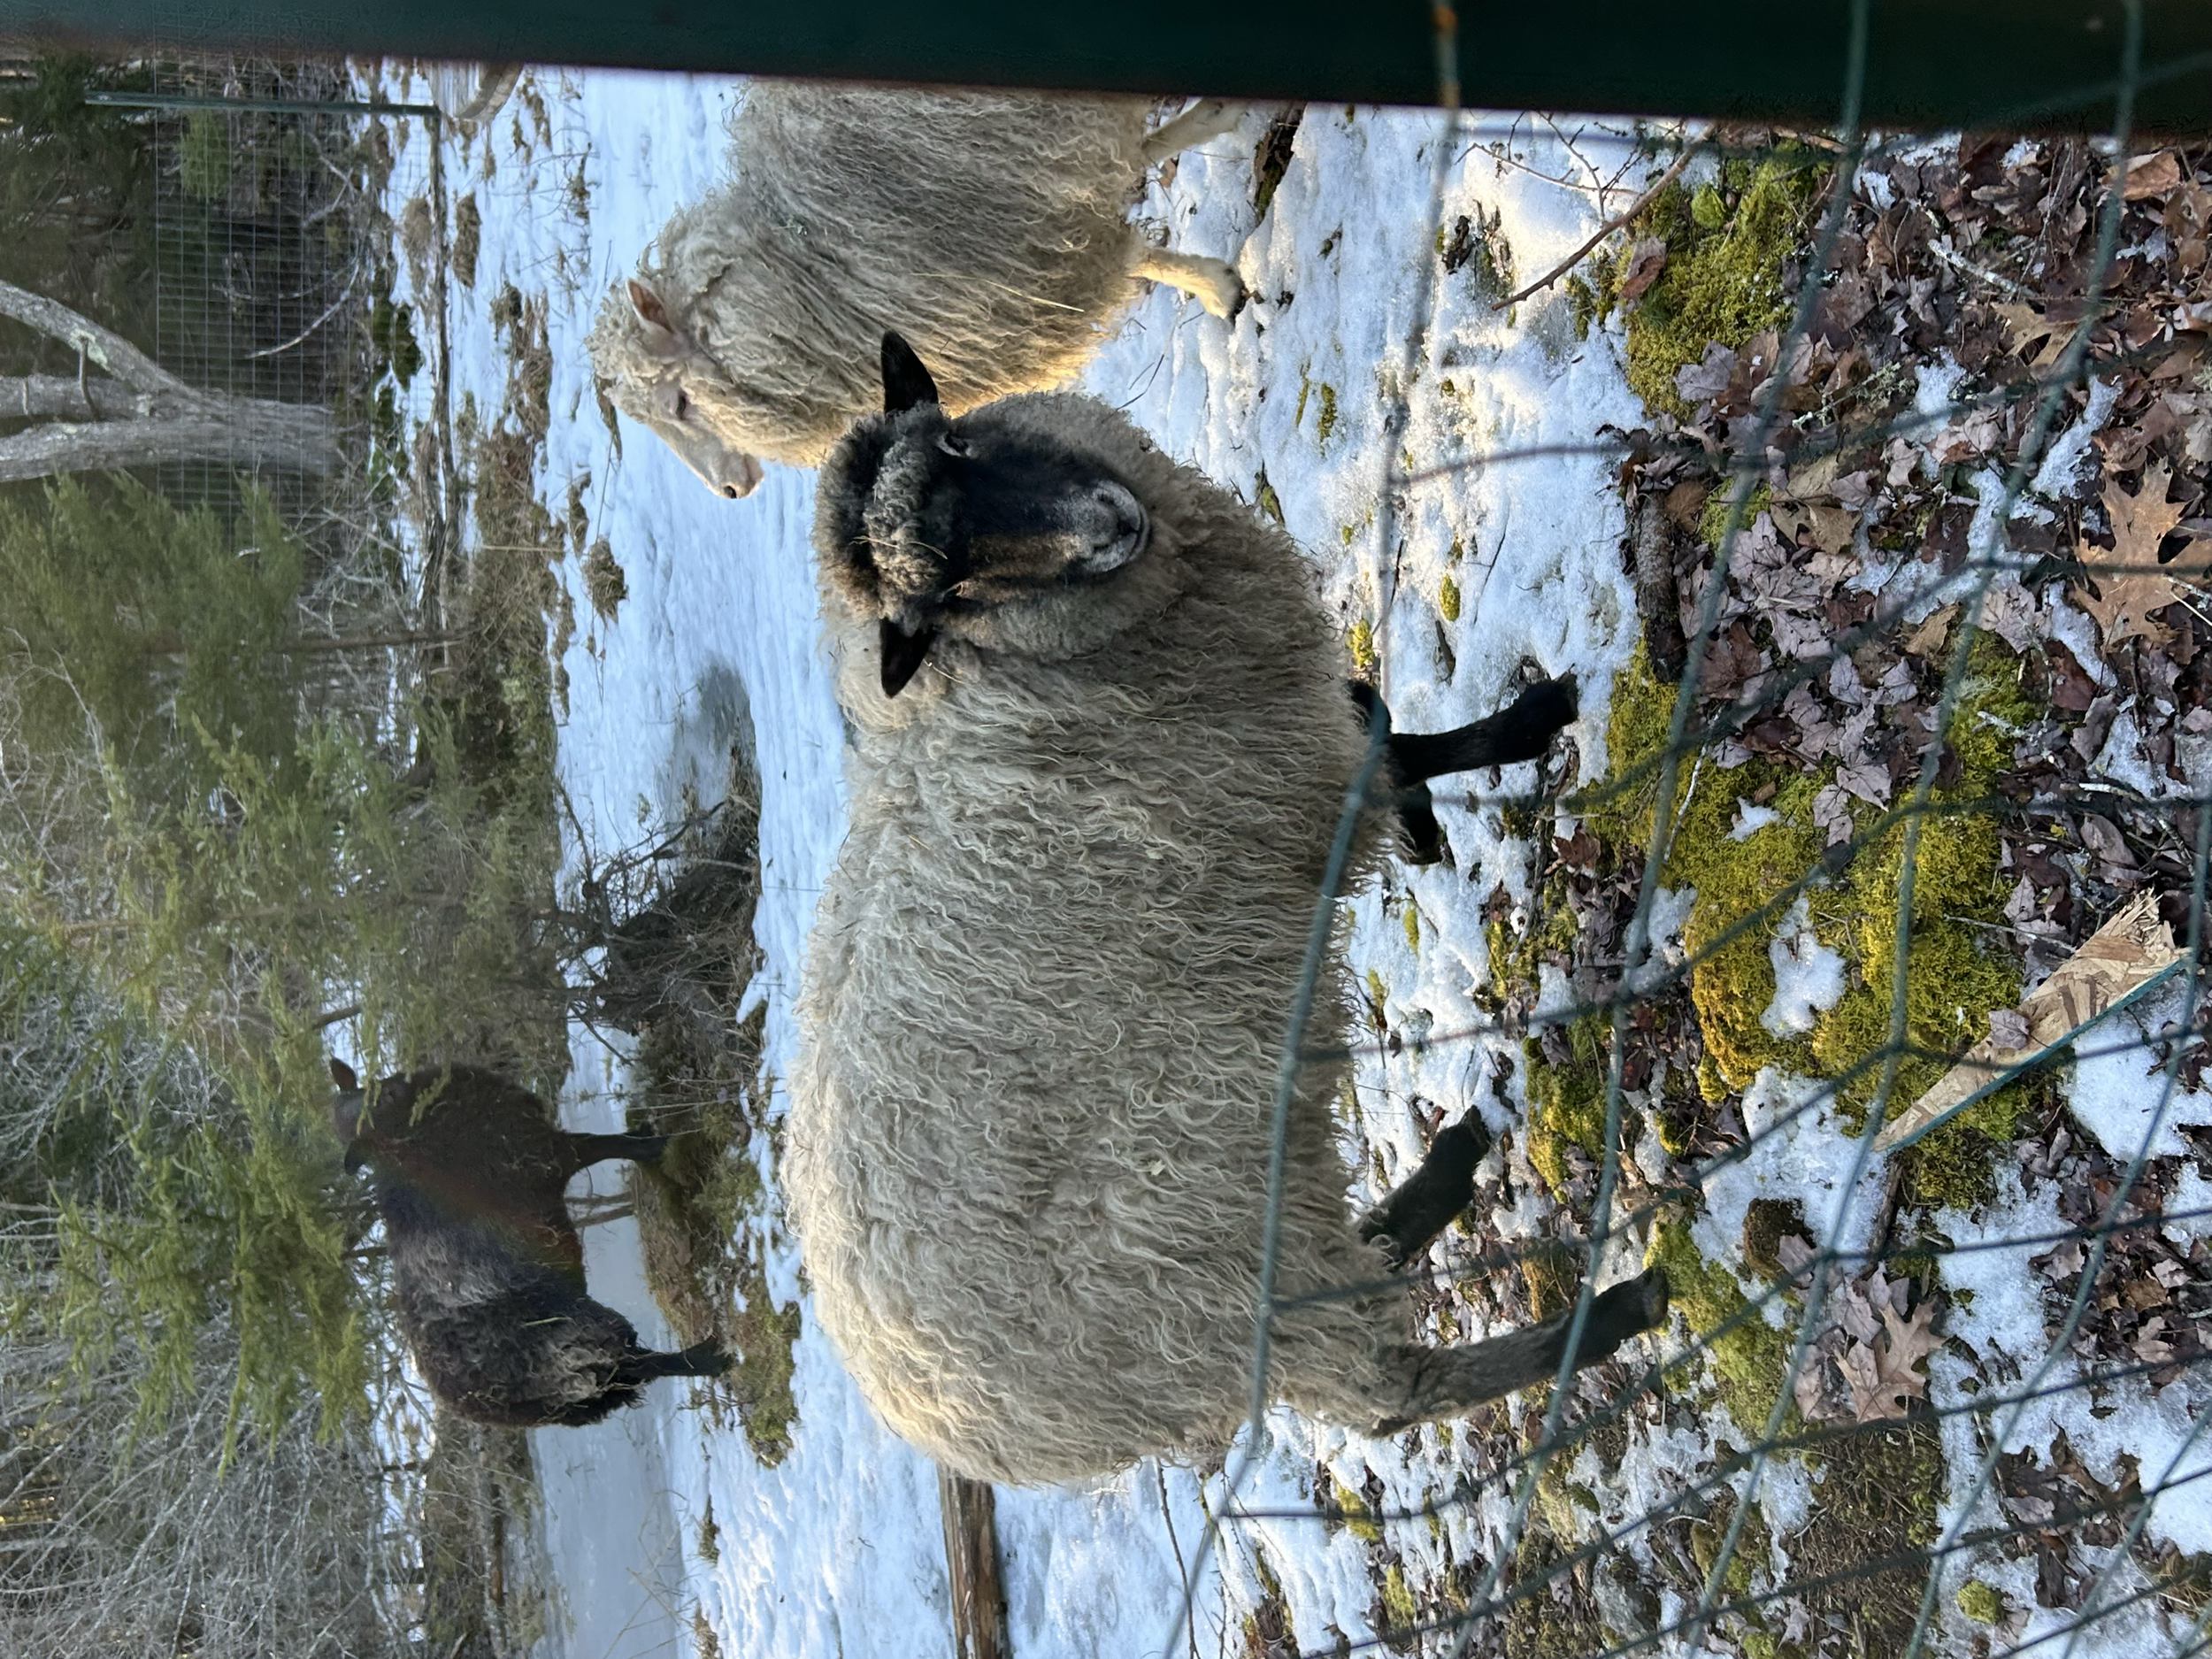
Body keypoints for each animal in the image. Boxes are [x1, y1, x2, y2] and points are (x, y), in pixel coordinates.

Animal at [330, 1059, 727, 1428]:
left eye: (377, 1089)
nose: (406, 1087)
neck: (412, 1144)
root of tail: (478, 1402)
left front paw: (645, 1131)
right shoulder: (548, 1153)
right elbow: (607, 1145)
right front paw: (659, 1145)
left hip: (574, 1400)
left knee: (628, 1372)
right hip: (569, 1343)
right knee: (638, 1362)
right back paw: (710, 1355)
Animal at [586, 84, 1250, 500]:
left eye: (678, 404)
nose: (730, 490)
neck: (809, 264)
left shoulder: (1019, 247)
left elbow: (1137, 254)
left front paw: (1218, 290)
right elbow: (1143, 160)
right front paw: (1215, 120)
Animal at [782, 333, 1670, 1486]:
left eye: (960, 445)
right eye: (949, 586)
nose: (1108, 523)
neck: (983, 691)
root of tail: (939, 1415)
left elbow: (1379, 720)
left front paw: (1436, 810)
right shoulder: (1291, 780)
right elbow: (1403, 748)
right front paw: (1526, 725)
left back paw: (1449, 1171)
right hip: (1206, 1266)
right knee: (1388, 1395)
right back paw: (1610, 1309)